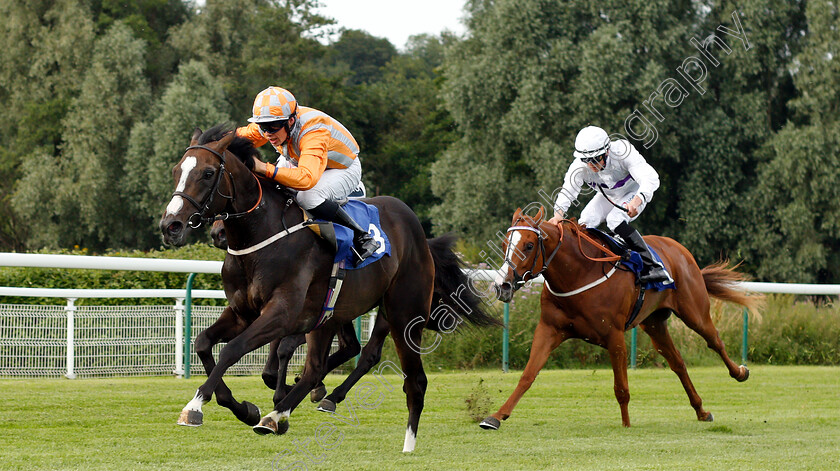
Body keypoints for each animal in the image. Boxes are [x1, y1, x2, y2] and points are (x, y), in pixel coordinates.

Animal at [162, 125, 498, 454]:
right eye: (177, 170)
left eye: (207, 173)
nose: (171, 225)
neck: (262, 237)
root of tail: (419, 234)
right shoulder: (243, 312)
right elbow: (204, 343)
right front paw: (245, 409)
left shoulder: (282, 313)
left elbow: (234, 349)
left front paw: (195, 406)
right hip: (333, 315)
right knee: (319, 365)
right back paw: (278, 415)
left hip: (402, 314)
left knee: (397, 370)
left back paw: (402, 440)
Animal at [480, 206, 760, 432]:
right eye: (505, 244)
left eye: (528, 246)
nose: (502, 285)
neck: (578, 273)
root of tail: (678, 248)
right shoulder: (549, 329)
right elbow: (528, 376)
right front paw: (495, 416)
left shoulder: (614, 335)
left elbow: (621, 388)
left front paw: (626, 424)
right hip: (654, 324)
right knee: (678, 363)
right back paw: (701, 410)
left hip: (694, 311)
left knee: (715, 341)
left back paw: (740, 372)